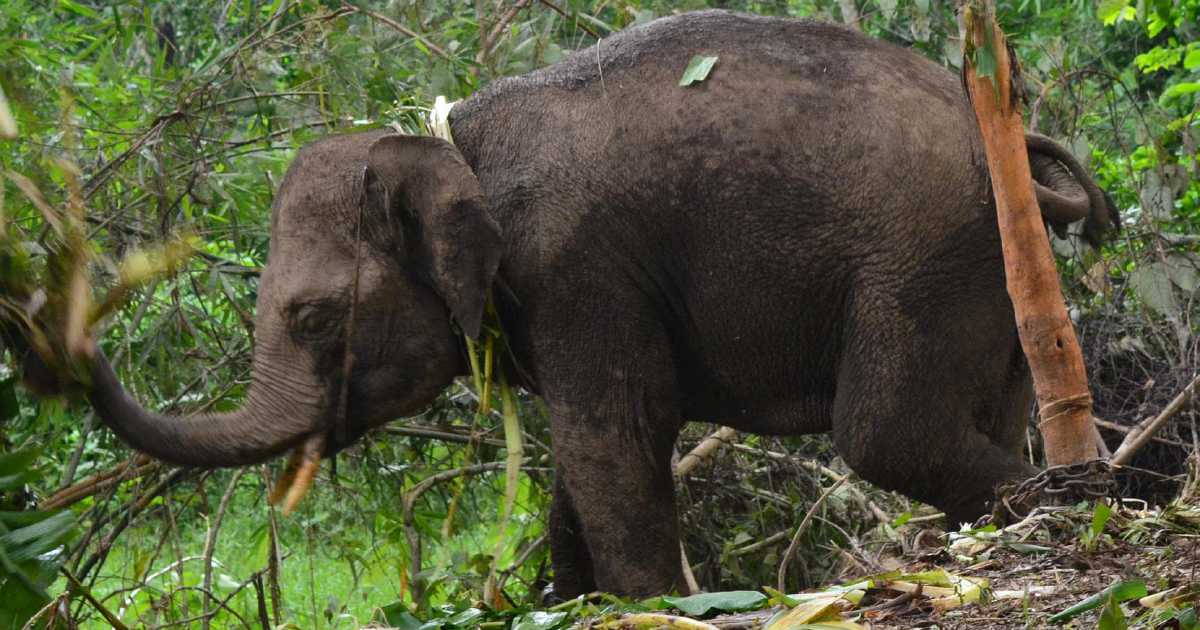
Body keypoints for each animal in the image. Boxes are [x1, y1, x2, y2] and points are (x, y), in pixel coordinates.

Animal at [14, 12, 1113, 597]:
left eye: (314, 320)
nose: (34, 321)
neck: (452, 139)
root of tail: (1006, 139)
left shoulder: (578, 267)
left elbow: (615, 439)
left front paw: (659, 604)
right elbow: (579, 465)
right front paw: (564, 597)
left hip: (917, 254)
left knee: (885, 433)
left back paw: (1079, 508)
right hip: (982, 271)